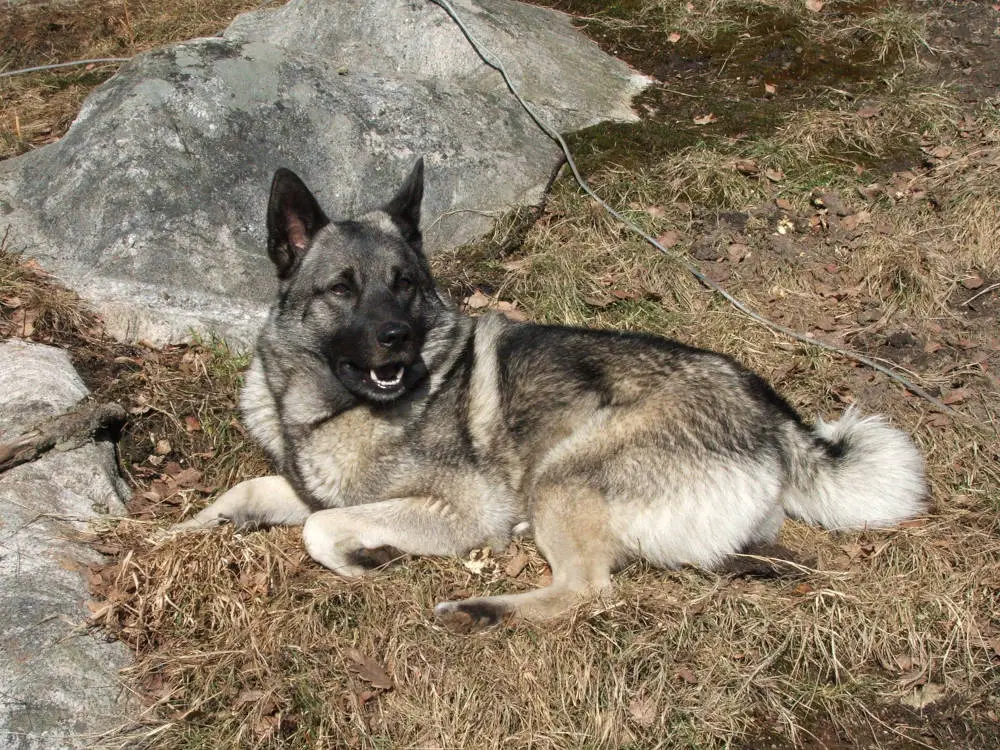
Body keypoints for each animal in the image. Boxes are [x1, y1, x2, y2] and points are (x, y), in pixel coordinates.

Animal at [174, 162, 928, 632]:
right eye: (342, 288)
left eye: (404, 284)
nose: (397, 338)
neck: (326, 406)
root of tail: (772, 418)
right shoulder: (306, 483)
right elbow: (248, 492)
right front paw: (177, 533)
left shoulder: (460, 509)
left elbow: (320, 528)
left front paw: (367, 558)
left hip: (561, 476)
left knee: (587, 592)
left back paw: (482, 611)